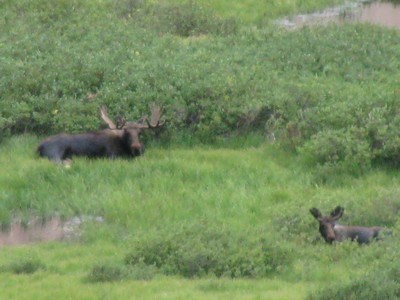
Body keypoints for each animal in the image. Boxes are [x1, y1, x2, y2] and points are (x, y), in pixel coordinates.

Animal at [36, 103, 164, 164]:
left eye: (140, 132)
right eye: (126, 132)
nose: (136, 147)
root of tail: (39, 146)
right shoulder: (112, 156)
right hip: (55, 151)